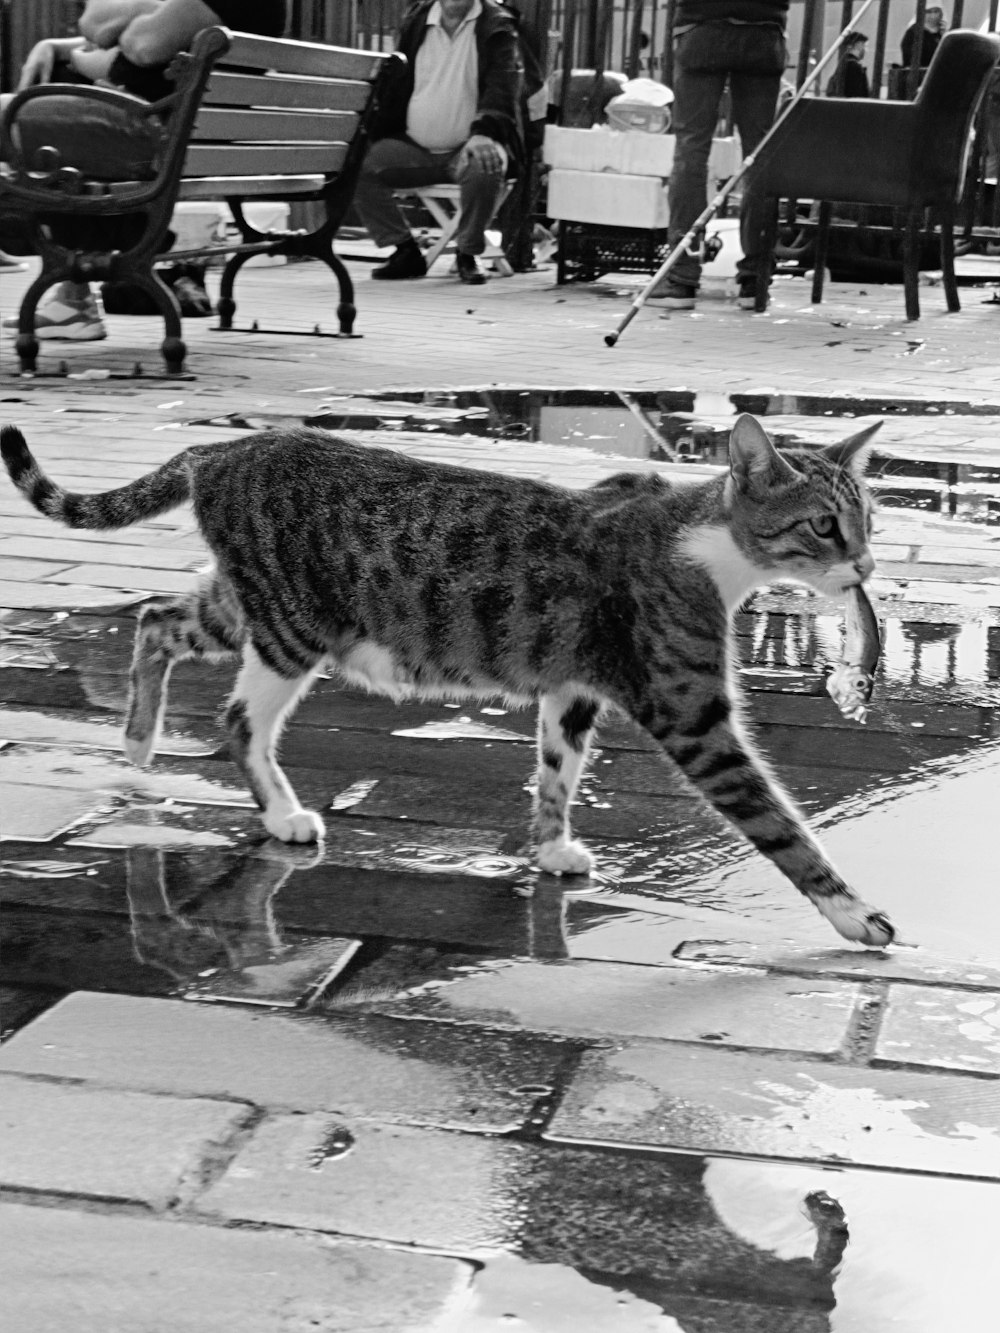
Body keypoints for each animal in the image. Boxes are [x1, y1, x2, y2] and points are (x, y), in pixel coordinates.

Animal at [0, 415, 890, 949]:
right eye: (823, 524)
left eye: (869, 520)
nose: (868, 567)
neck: (701, 543)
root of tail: (223, 449)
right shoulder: (689, 710)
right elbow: (777, 821)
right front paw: (854, 912)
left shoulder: (571, 688)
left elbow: (556, 769)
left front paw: (549, 846)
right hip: (291, 626)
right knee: (239, 718)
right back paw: (279, 811)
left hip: (244, 605)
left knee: (156, 618)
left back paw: (137, 739)